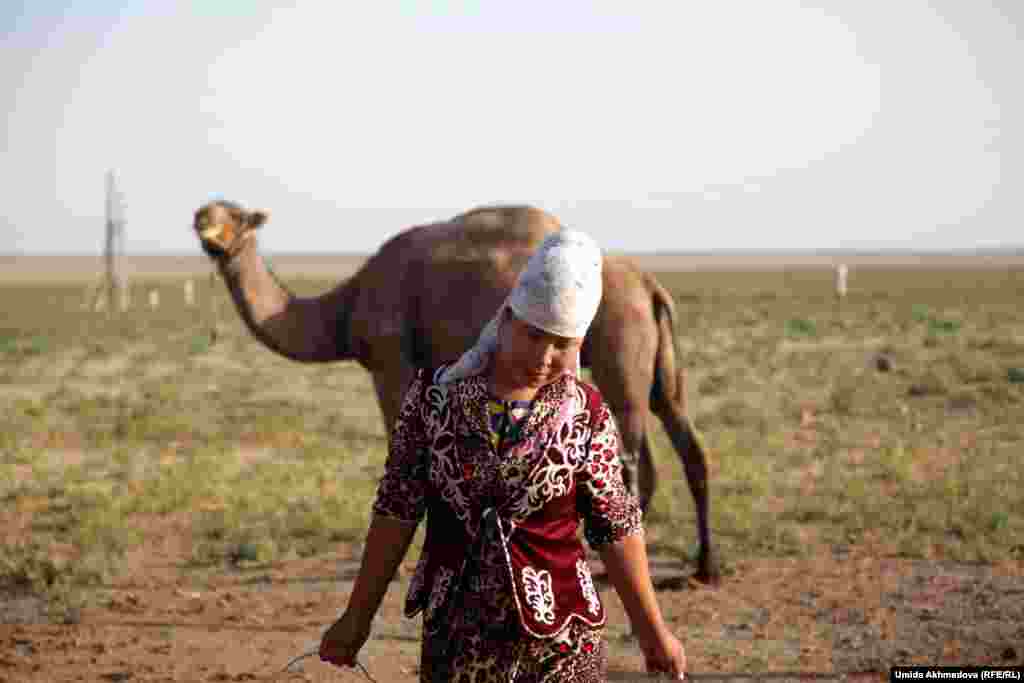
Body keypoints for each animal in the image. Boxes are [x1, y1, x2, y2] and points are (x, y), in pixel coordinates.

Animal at [193, 198, 720, 581]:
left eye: (233, 216)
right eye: (204, 212)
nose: (204, 228)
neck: (343, 310)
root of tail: (650, 285)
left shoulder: (390, 363)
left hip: (619, 344)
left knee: (628, 458)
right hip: (657, 363)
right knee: (683, 441)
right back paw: (702, 568)